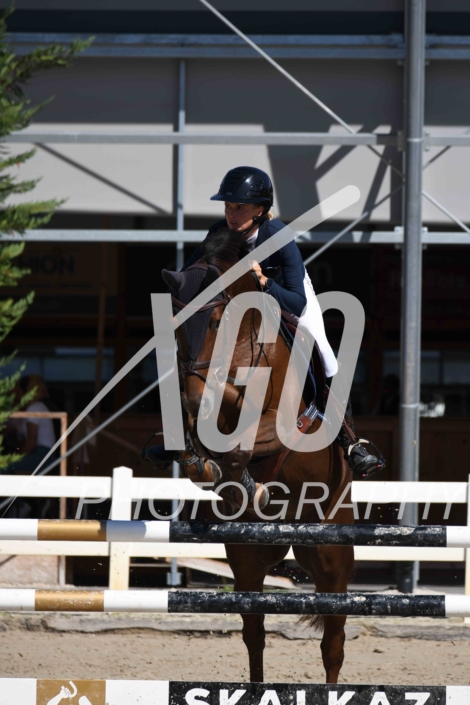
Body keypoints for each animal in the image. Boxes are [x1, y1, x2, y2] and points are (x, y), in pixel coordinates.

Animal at [161, 227, 355, 684]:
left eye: (217, 320)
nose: (191, 378)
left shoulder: (281, 423)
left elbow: (240, 439)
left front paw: (245, 483)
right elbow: (204, 423)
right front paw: (212, 472)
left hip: (333, 556)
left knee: (333, 642)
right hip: (248, 558)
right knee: (254, 634)